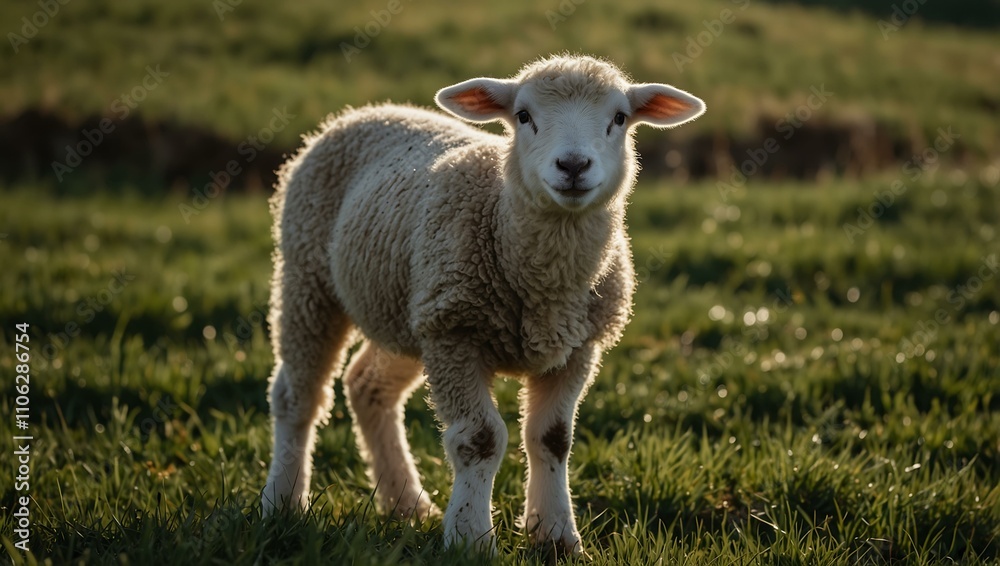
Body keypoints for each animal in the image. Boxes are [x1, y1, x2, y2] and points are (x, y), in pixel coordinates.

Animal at [261, 54, 705, 554]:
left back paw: (407, 504)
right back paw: (283, 502)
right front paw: (470, 538)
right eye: (524, 116)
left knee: (368, 385)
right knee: (297, 396)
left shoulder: (576, 347)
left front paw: (556, 535)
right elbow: (480, 440)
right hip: (308, 280)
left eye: (620, 118)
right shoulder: (456, 335)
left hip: (408, 312)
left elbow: (552, 438)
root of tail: (359, 113)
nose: (573, 165)